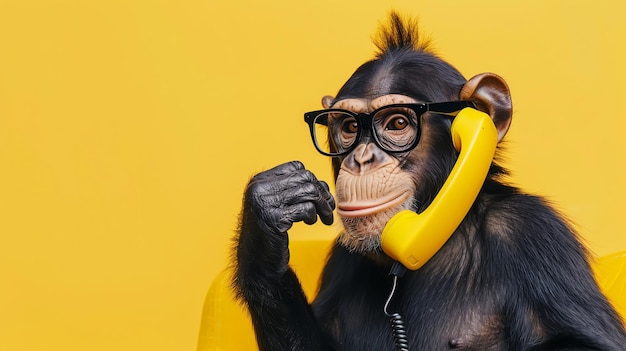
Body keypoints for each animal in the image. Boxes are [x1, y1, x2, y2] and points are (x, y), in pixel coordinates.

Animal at [230, 11, 624, 351]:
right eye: (350, 127)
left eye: (397, 123)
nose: (361, 160)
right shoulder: (343, 257)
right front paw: (268, 217)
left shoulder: (533, 233)